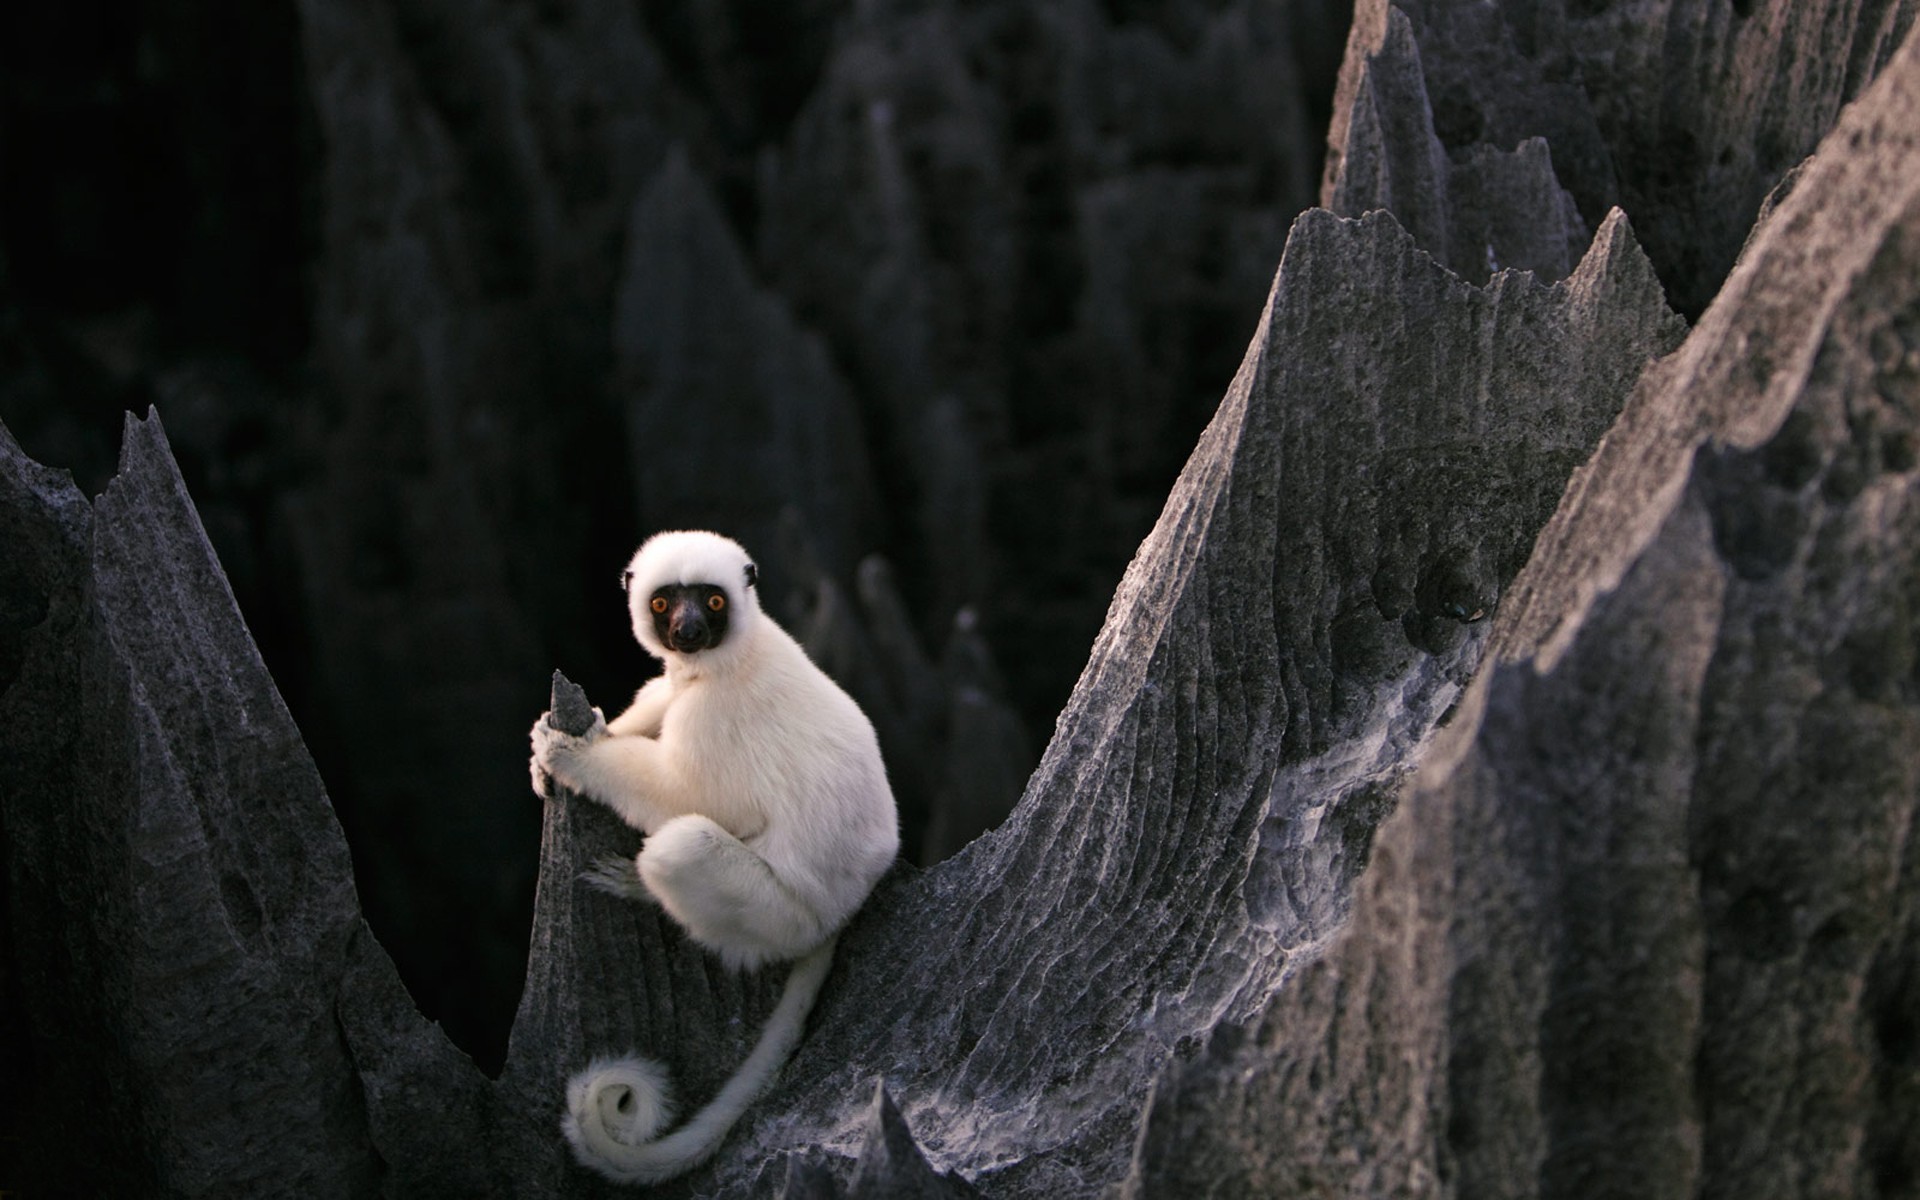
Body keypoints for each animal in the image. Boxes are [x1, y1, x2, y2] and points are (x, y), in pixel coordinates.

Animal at [528, 530, 900, 1185]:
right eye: (663, 603)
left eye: (713, 601)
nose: (689, 630)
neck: (728, 658)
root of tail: (842, 913)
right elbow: (661, 693)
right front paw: (572, 741)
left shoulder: (713, 716)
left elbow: (693, 797)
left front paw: (571, 756)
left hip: (783, 917)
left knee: (682, 846)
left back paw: (643, 887)